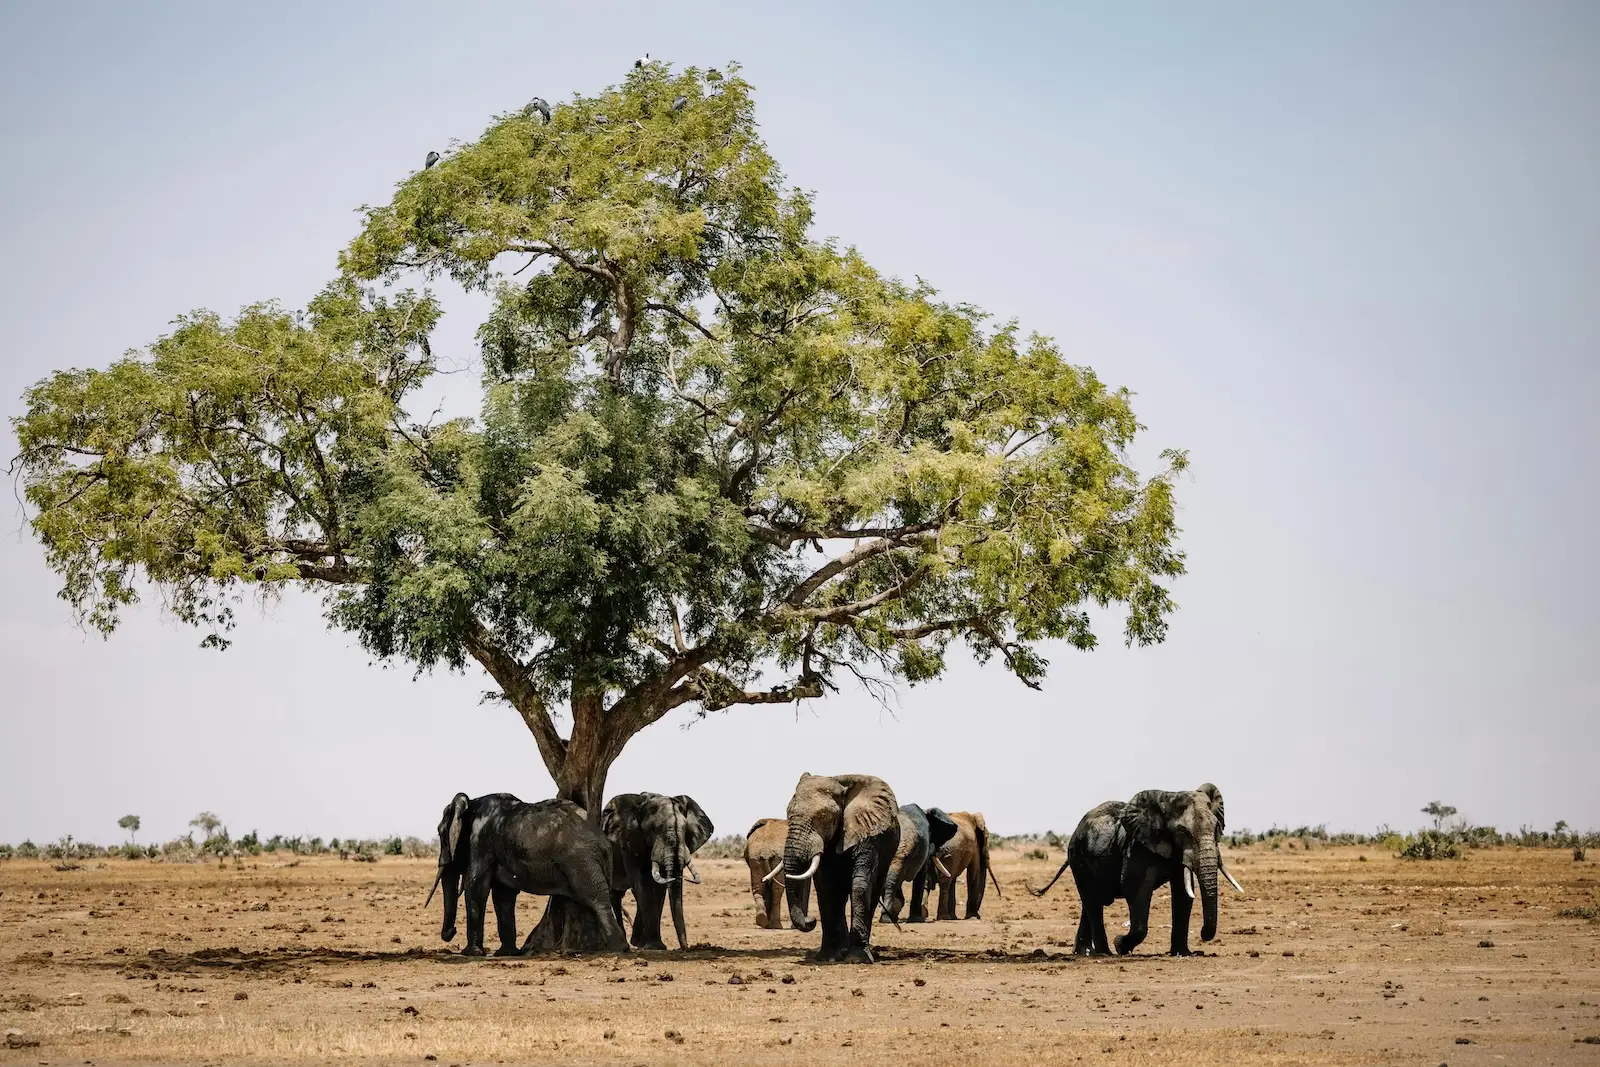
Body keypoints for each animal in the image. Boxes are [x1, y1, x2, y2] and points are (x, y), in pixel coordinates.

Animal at [427, 791, 628, 956]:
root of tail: (603, 840)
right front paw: (506, 954)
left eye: (440, 833)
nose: (451, 931)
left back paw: (617, 948)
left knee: (596, 899)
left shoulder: (480, 840)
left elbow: (476, 887)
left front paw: (471, 953)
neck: (471, 803)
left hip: (580, 859)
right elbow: (503, 895)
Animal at [600, 792, 713, 950]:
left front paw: (650, 945)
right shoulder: (629, 841)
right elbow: (643, 882)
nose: (686, 948)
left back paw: (636, 941)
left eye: (685, 830)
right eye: (653, 829)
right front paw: (654, 946)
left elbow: (659, 887)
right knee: (615, 895)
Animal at [780, 773, 900, 963]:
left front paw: (857, 959)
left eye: (823, 816)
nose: (811, 920)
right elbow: (826, 888)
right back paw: (841, 951)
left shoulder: (866, 829)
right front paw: (827, 957)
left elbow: (860, 884)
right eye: (788, 814)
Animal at [1030, 783, 1245, 956]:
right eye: (1182, 831)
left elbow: (1183, 894)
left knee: (1090, 902)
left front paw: (1185, 953)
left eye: (1216, 827)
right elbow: (1135, 886)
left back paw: (1084, 952)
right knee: (1092, 900)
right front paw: (1120, 945)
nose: (1202, 933)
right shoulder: (1137, 846)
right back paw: (1104, 953)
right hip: (1078, 856)